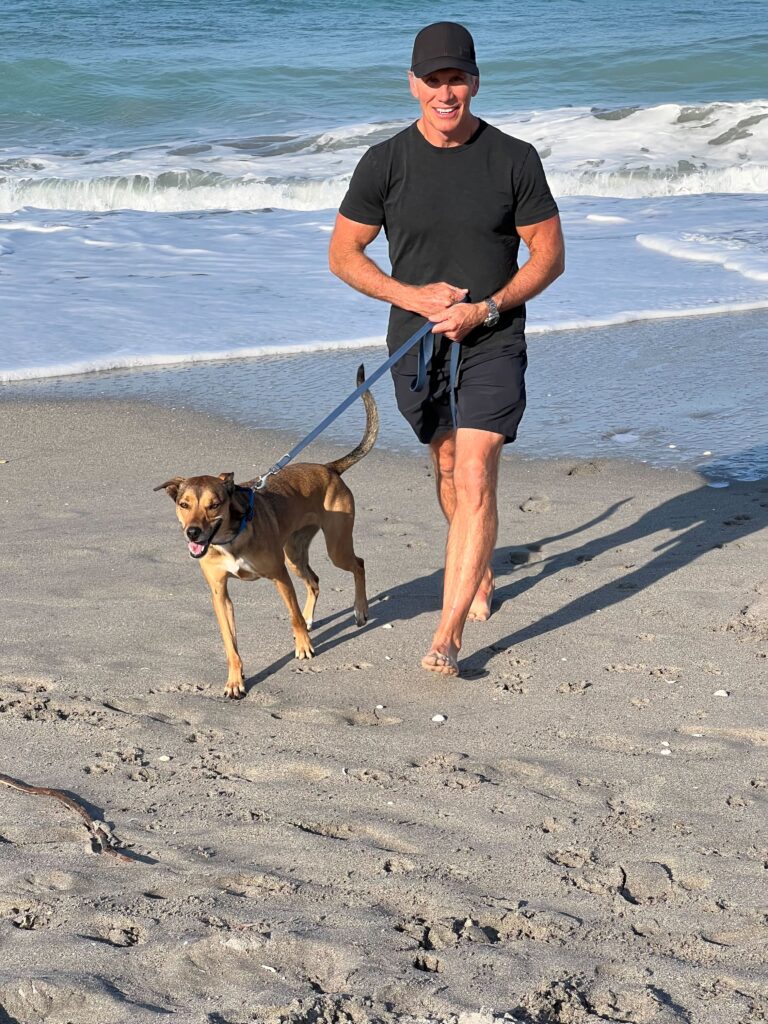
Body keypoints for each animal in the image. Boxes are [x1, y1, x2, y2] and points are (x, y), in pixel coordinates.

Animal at [155, 372, 378, 700]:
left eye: (214, 504)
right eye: (184, 504)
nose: (193, 532)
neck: (230, 539)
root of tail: (329, 469)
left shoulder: (279, 576)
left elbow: (292, 615)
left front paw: (304, 646)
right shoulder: (220, 593)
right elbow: (230, 643)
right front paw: (235, 680)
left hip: (334, 548)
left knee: (358, 564)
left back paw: (359, 611)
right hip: (295, 554)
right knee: (314, 580)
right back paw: (313, 618)